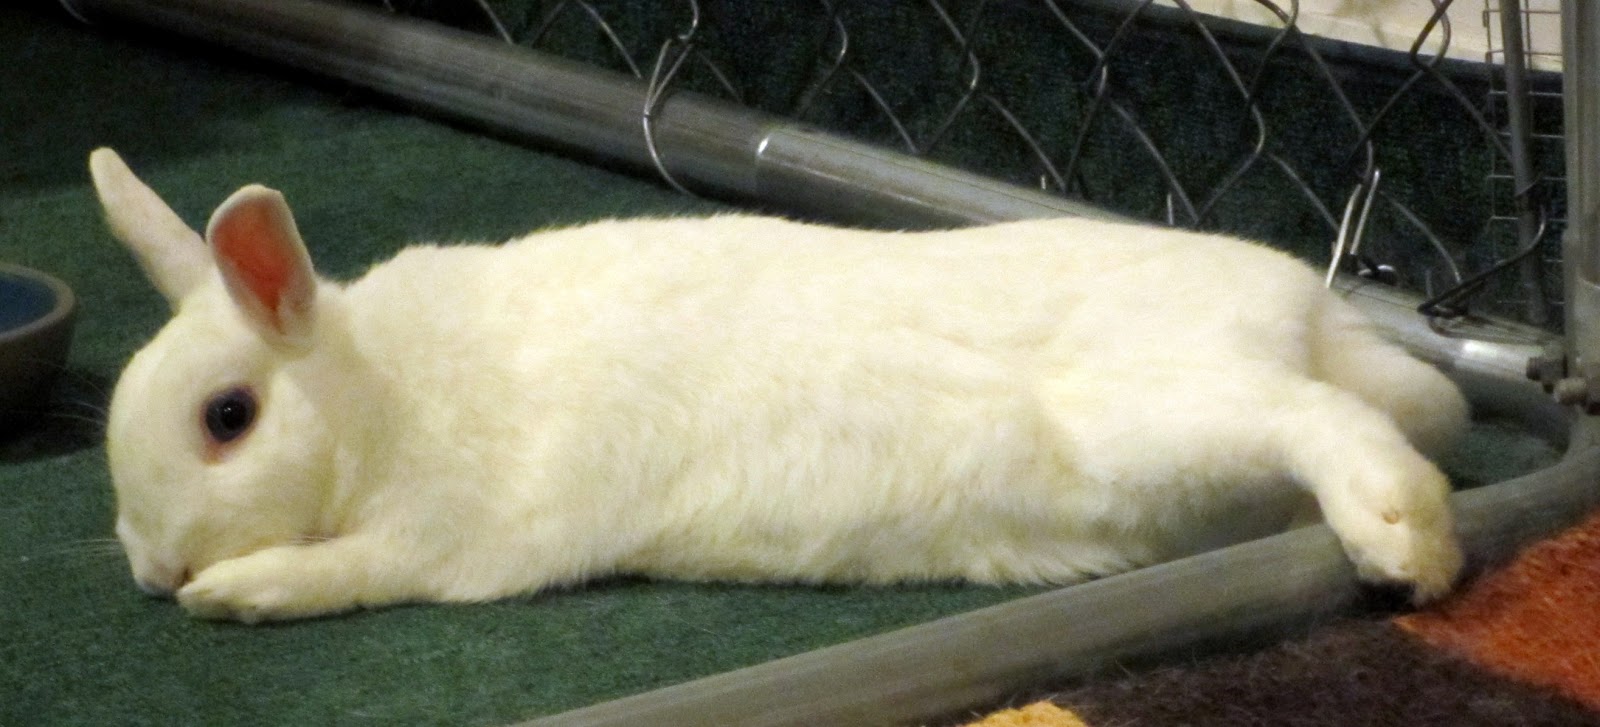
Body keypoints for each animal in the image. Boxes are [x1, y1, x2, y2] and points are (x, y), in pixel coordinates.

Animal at [90, 147, 1467, 623]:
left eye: (228, 417)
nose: (155, 571)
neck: (381, 393)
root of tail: (1306, 311)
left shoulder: (451, 538)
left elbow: (346, 572)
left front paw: (235, 595)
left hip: (1154, 415)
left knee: (1324, 419)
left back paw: (1404, 544)